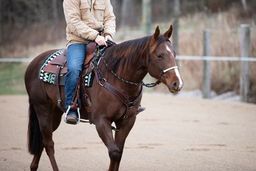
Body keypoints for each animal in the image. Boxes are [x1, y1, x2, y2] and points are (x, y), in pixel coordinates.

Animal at [24, 25, 182, 171]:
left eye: (174, 53)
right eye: (160, 55)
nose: (177, 83)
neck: (116, 77)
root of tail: (33, 63)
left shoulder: (127, 121)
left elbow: (119, 153)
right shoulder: (101, 121)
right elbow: (114, 153)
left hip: (54, 114)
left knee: (42, 141)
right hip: (42, 109)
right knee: (48, 143)